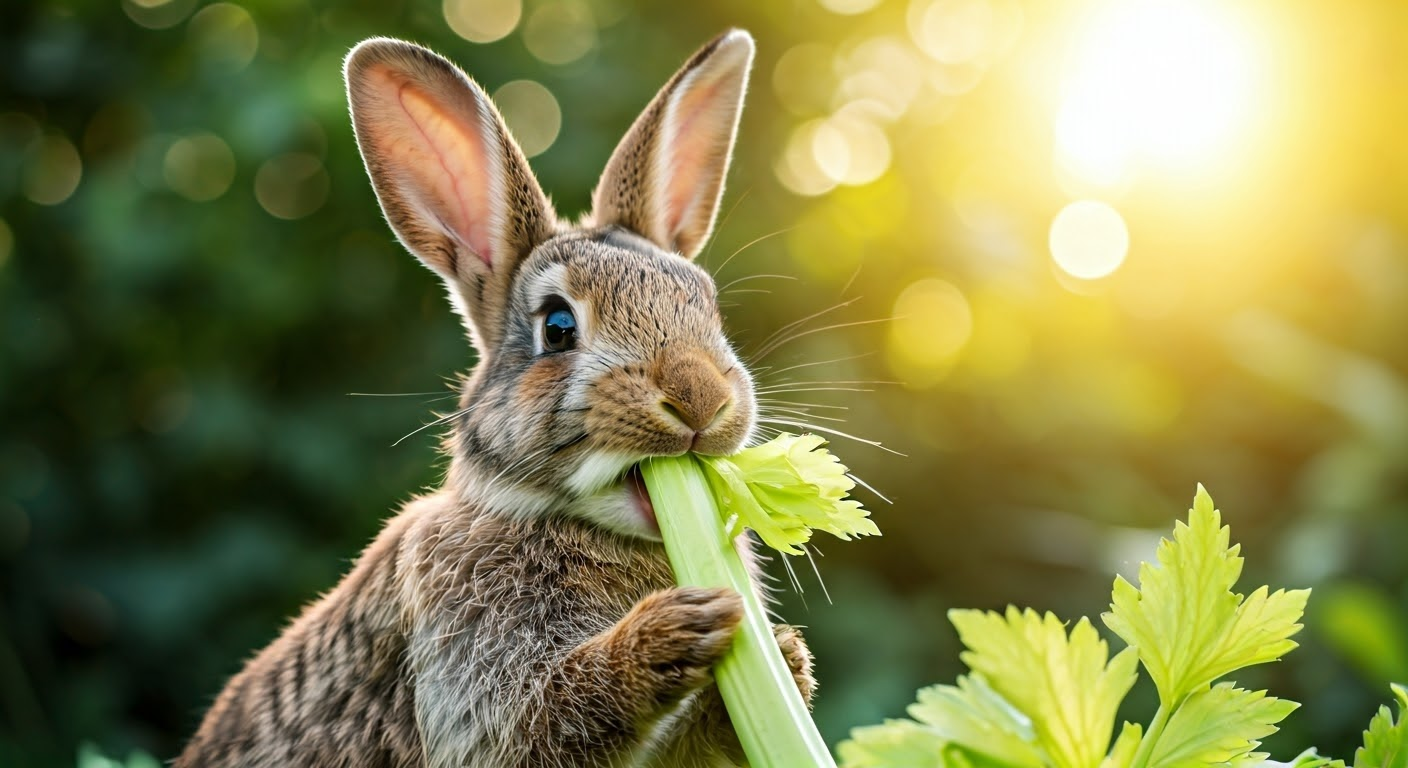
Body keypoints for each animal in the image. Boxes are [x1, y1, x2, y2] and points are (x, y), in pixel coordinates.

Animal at [174, 28, 816, 766]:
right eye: (558, 327)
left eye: (708, 307)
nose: (701, 400)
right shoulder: (471, 688)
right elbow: (540, 723)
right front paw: (669, 632)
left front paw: (788, 663)